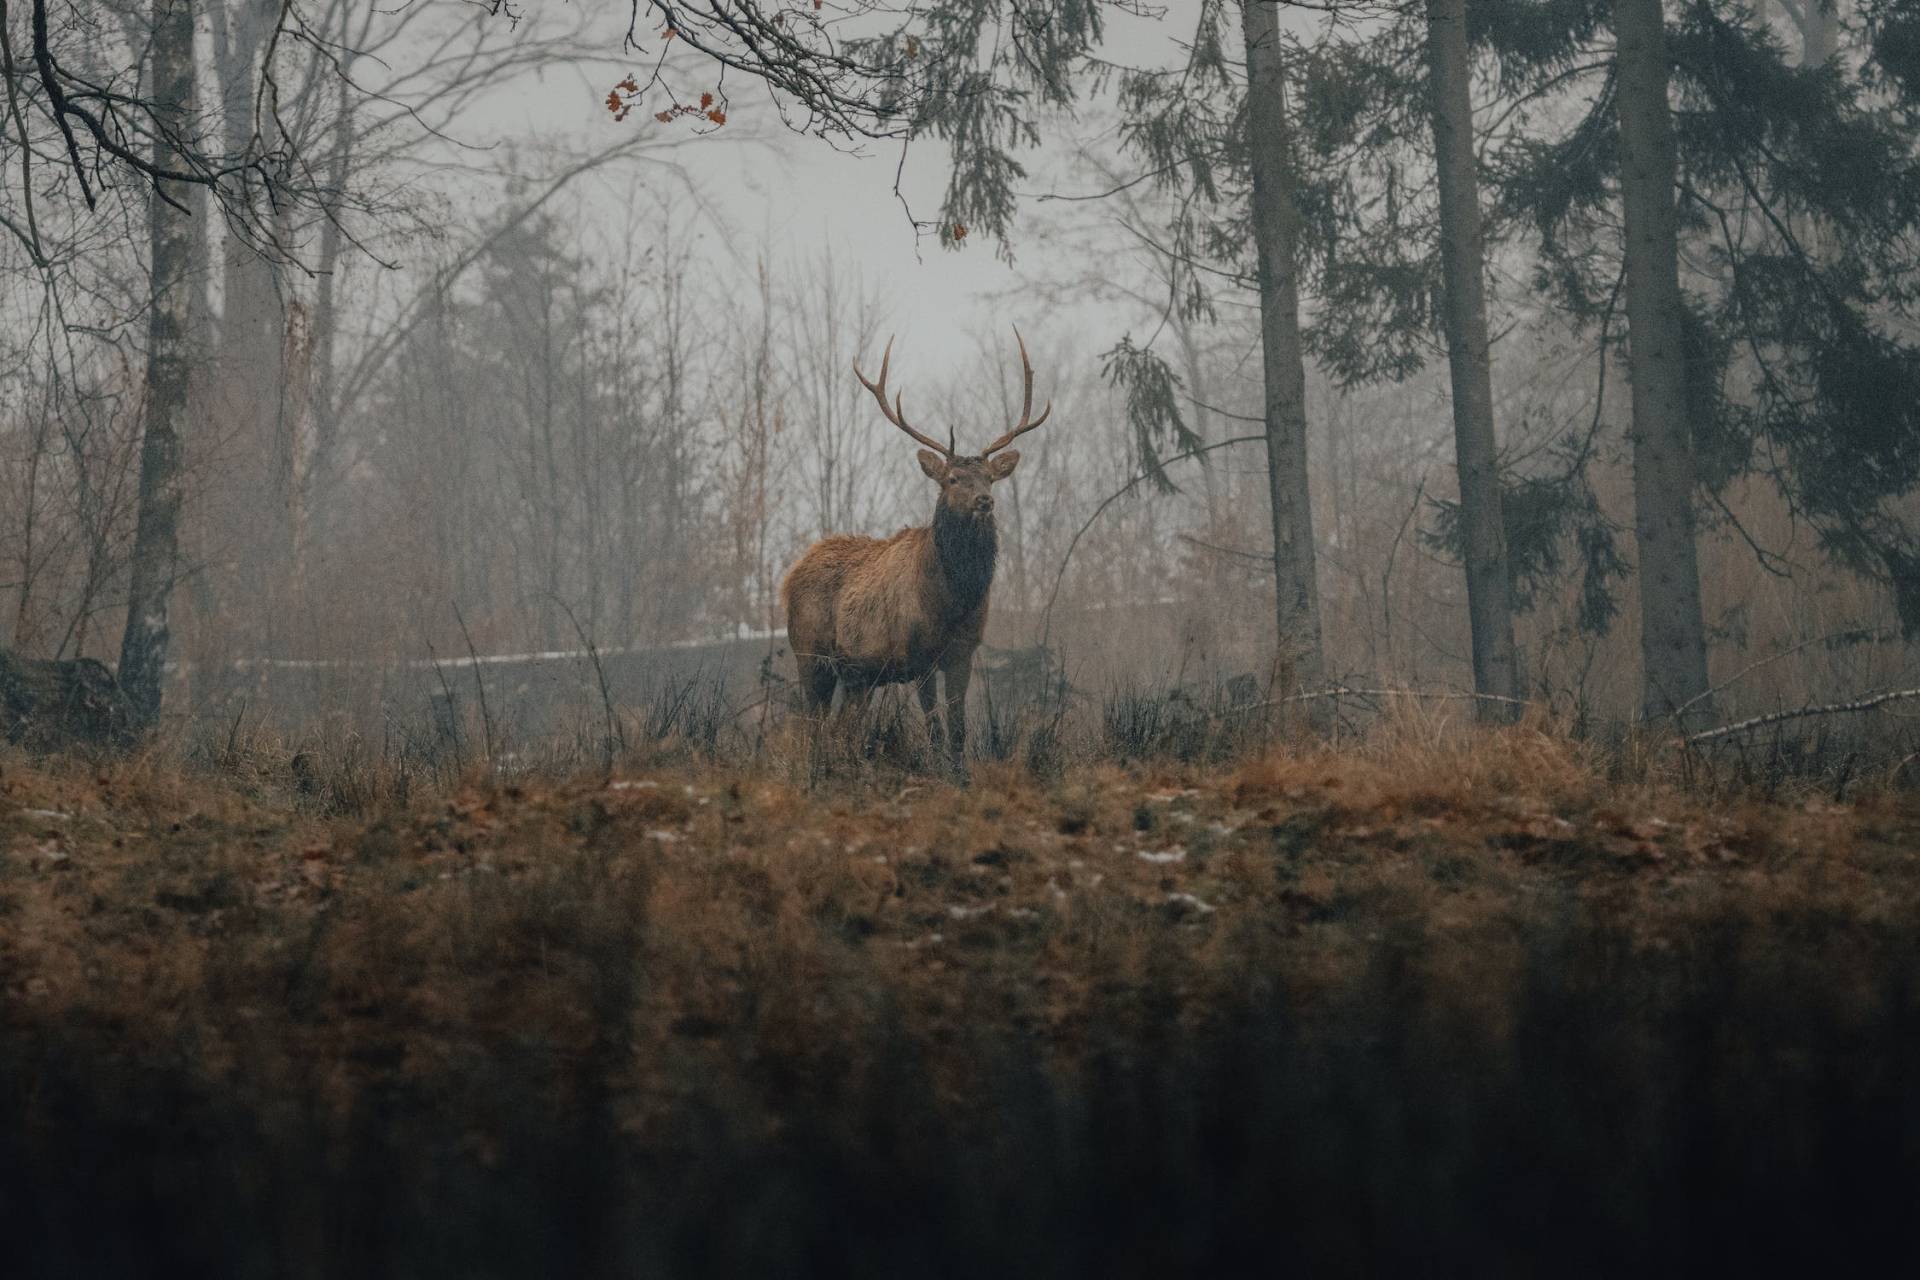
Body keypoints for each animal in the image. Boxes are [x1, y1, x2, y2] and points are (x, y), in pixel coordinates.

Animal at [775, 330, 1052, 771]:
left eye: (990, 478)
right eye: (953, 478)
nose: (984, 502)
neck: (953, 602)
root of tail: (790, 577)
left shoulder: (963, 652)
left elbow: (957, 728)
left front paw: (960, 774)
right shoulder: (919, 654)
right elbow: (934, 726)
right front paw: (940, 771)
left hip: (859, 676)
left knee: (842, 728)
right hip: (810, 654)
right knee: (812, 725)